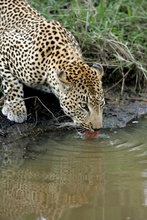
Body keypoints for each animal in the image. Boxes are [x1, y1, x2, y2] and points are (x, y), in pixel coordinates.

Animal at [0, 0, 105, 133]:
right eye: (83, 106)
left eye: (101, 104)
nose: (97, 129)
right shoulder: (4, 46)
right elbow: (11, 83)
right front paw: (15, 109)